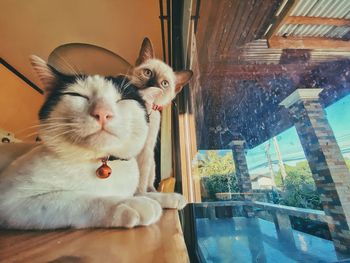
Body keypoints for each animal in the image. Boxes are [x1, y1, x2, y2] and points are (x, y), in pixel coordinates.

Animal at [0, 56, 163, 231]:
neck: (98, 162)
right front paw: (130, 203)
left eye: (123, 99)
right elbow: (76, 198)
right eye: (77, 94)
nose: (103, 113)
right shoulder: (11, 200)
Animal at [129, 38, 193, 198]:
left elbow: (140, 181)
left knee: (149, 182)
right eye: (147, 73)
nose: (153, 85)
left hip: (152, 162)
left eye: (164, 83)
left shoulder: (145, 150)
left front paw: (139, 197)